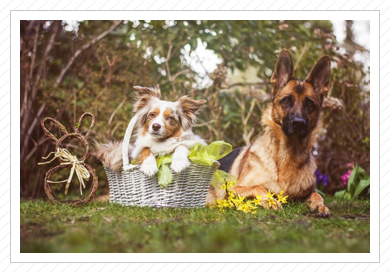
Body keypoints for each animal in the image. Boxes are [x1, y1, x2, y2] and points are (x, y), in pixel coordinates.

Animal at [206, 47, 330, 216]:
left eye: (309, 103)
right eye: (286, 100)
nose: (298, 123)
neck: (287, 155)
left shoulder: (308, 192)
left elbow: (317, 195)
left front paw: (319, 205)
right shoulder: (233, 190)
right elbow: (259, 187)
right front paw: (271, 202)